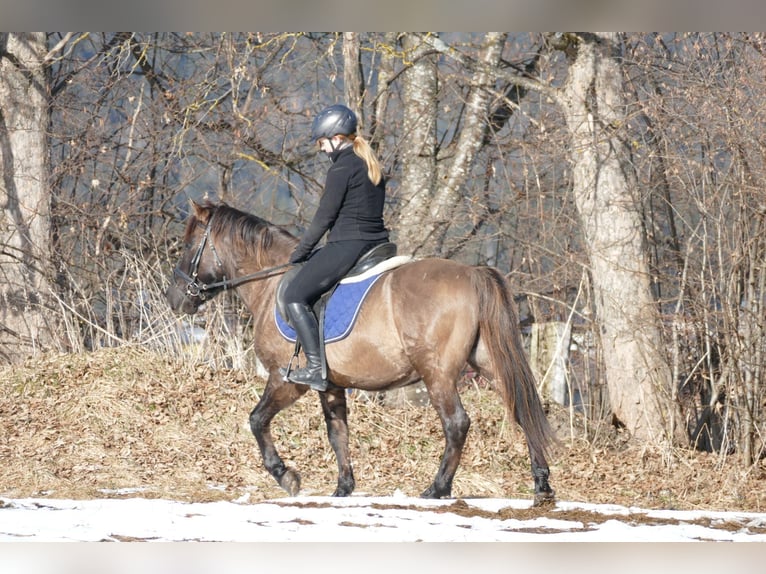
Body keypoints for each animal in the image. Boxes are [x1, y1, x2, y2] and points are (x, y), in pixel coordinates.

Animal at [166, 200, 560, 506]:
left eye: (188, 245)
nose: (176, 299)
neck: (270, 284)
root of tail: (472, 273)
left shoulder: (287, 380)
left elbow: (257, 420)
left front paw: (286, 476)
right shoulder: (331, 385)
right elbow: (337, 432)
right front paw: (343, 488)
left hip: (437, 374)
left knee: (457, 423)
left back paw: (437, 489)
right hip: (488, 363)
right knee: (522, 410)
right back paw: (541, 485)